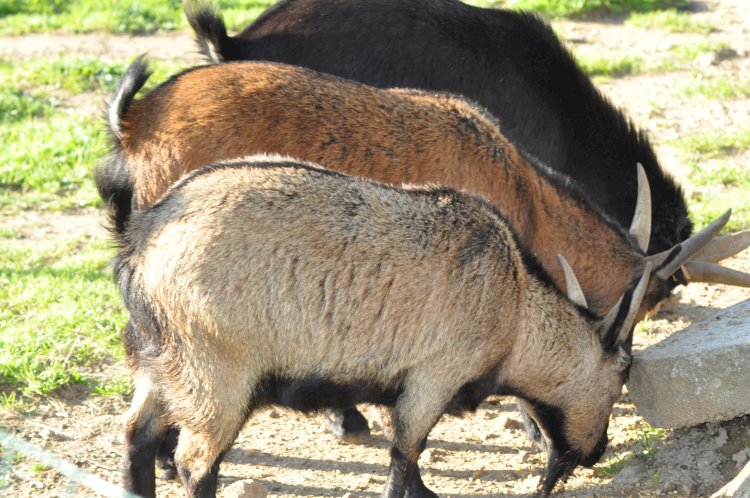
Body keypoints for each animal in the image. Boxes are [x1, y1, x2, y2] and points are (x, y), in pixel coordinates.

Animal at [103, 154, 656, 496]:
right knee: (194, 462)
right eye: (623, 374)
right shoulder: (432, 379)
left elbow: (409, 466)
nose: (597, 451)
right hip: (218, 375)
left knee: (137, 436)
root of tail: (141, 240)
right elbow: (404, 458)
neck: (515, 303)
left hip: (162, 365)